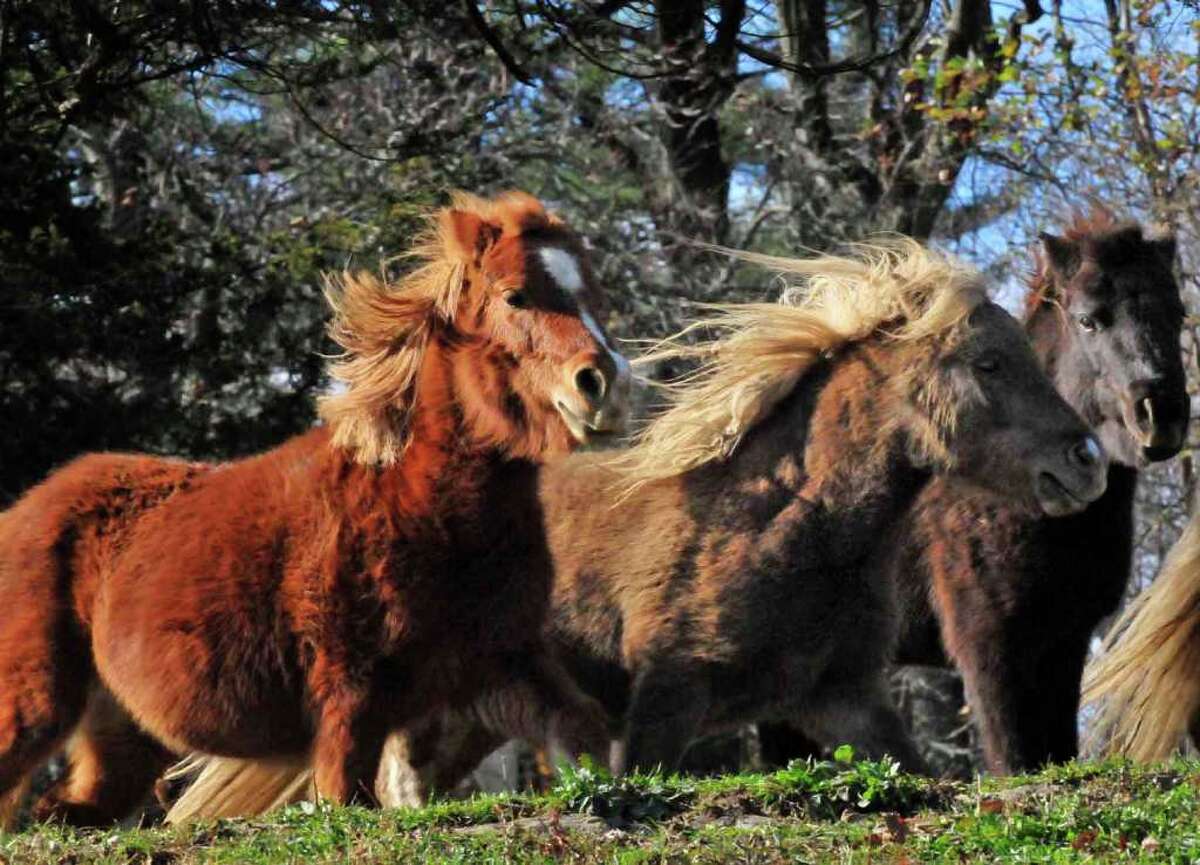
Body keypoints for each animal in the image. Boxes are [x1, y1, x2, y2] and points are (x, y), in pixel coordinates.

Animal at [0, 190, 632, 826]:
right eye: (514, 295)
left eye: (597, 298)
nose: (605, 385)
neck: (420, 504)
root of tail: (23, 510)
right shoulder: (352, 696)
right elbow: (347, 793)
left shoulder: (500, 661)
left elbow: (582, 724)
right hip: (36, 703)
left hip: (124, 734)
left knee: (65, 807)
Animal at [156, 239, 1110, 819]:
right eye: (989, 362)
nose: (1088, 461)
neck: (785, 525)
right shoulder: (664, 701)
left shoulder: (840, 697)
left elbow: (910, 771)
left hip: (463, 718)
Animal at [755, 211, 1187, 775]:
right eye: (1090, 319)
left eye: (1178, 314)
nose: (1163, 414)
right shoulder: (991, 652)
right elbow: (1013, 762)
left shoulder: (1062, 646)